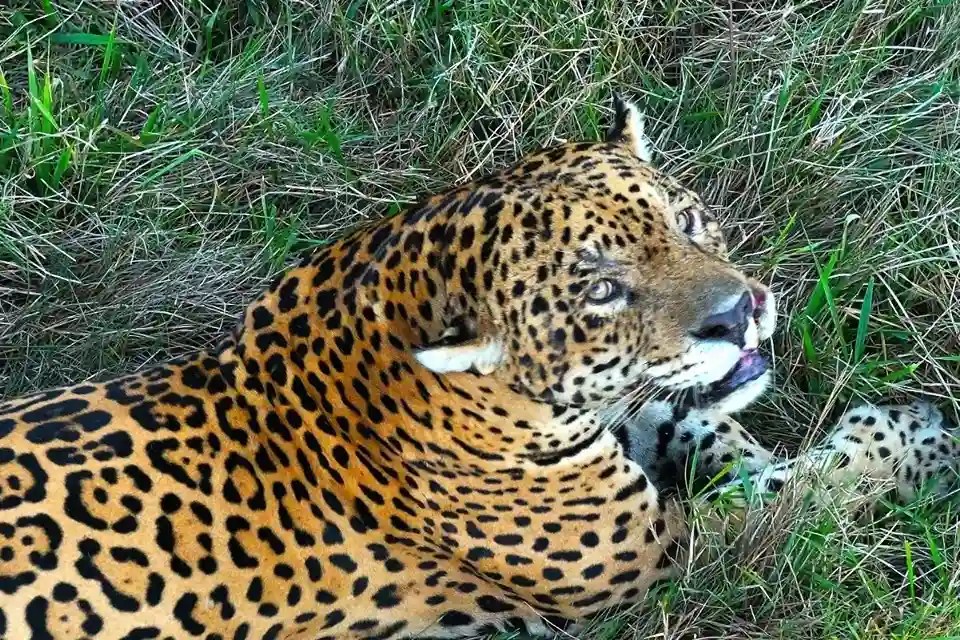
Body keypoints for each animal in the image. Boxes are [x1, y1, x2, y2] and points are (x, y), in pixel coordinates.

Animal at [0, 92, 957, 640]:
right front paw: (920, 445)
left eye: (686, 221)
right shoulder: (667, 562)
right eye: (602, 291)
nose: (740, 311)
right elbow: (810, 498)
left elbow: (709, 429)